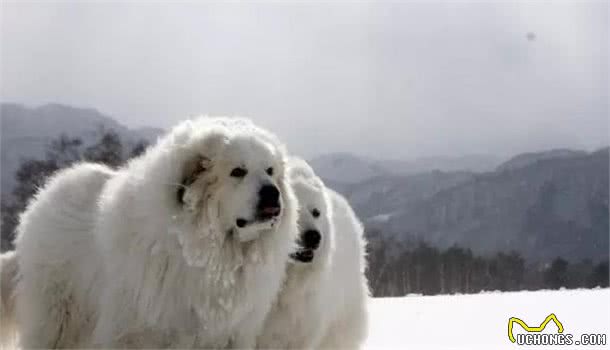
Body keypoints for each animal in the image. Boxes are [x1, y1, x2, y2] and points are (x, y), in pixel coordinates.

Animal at [7, 117, 296, 348]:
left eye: (270, 171)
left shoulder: (229, 334)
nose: (272, 192)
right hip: (58, 322)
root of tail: (45, 194)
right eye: (238, 172)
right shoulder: (141, 333)